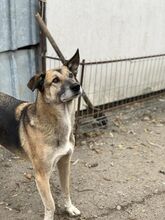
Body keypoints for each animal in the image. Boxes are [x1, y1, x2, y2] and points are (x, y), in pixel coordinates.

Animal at [0, 49, 82, 220]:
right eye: (55, 80)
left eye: (71, 75)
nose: (77, 86)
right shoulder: (41, 175)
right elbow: (50, 203)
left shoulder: (64, 162)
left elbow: (66, 190)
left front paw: (69, 208)